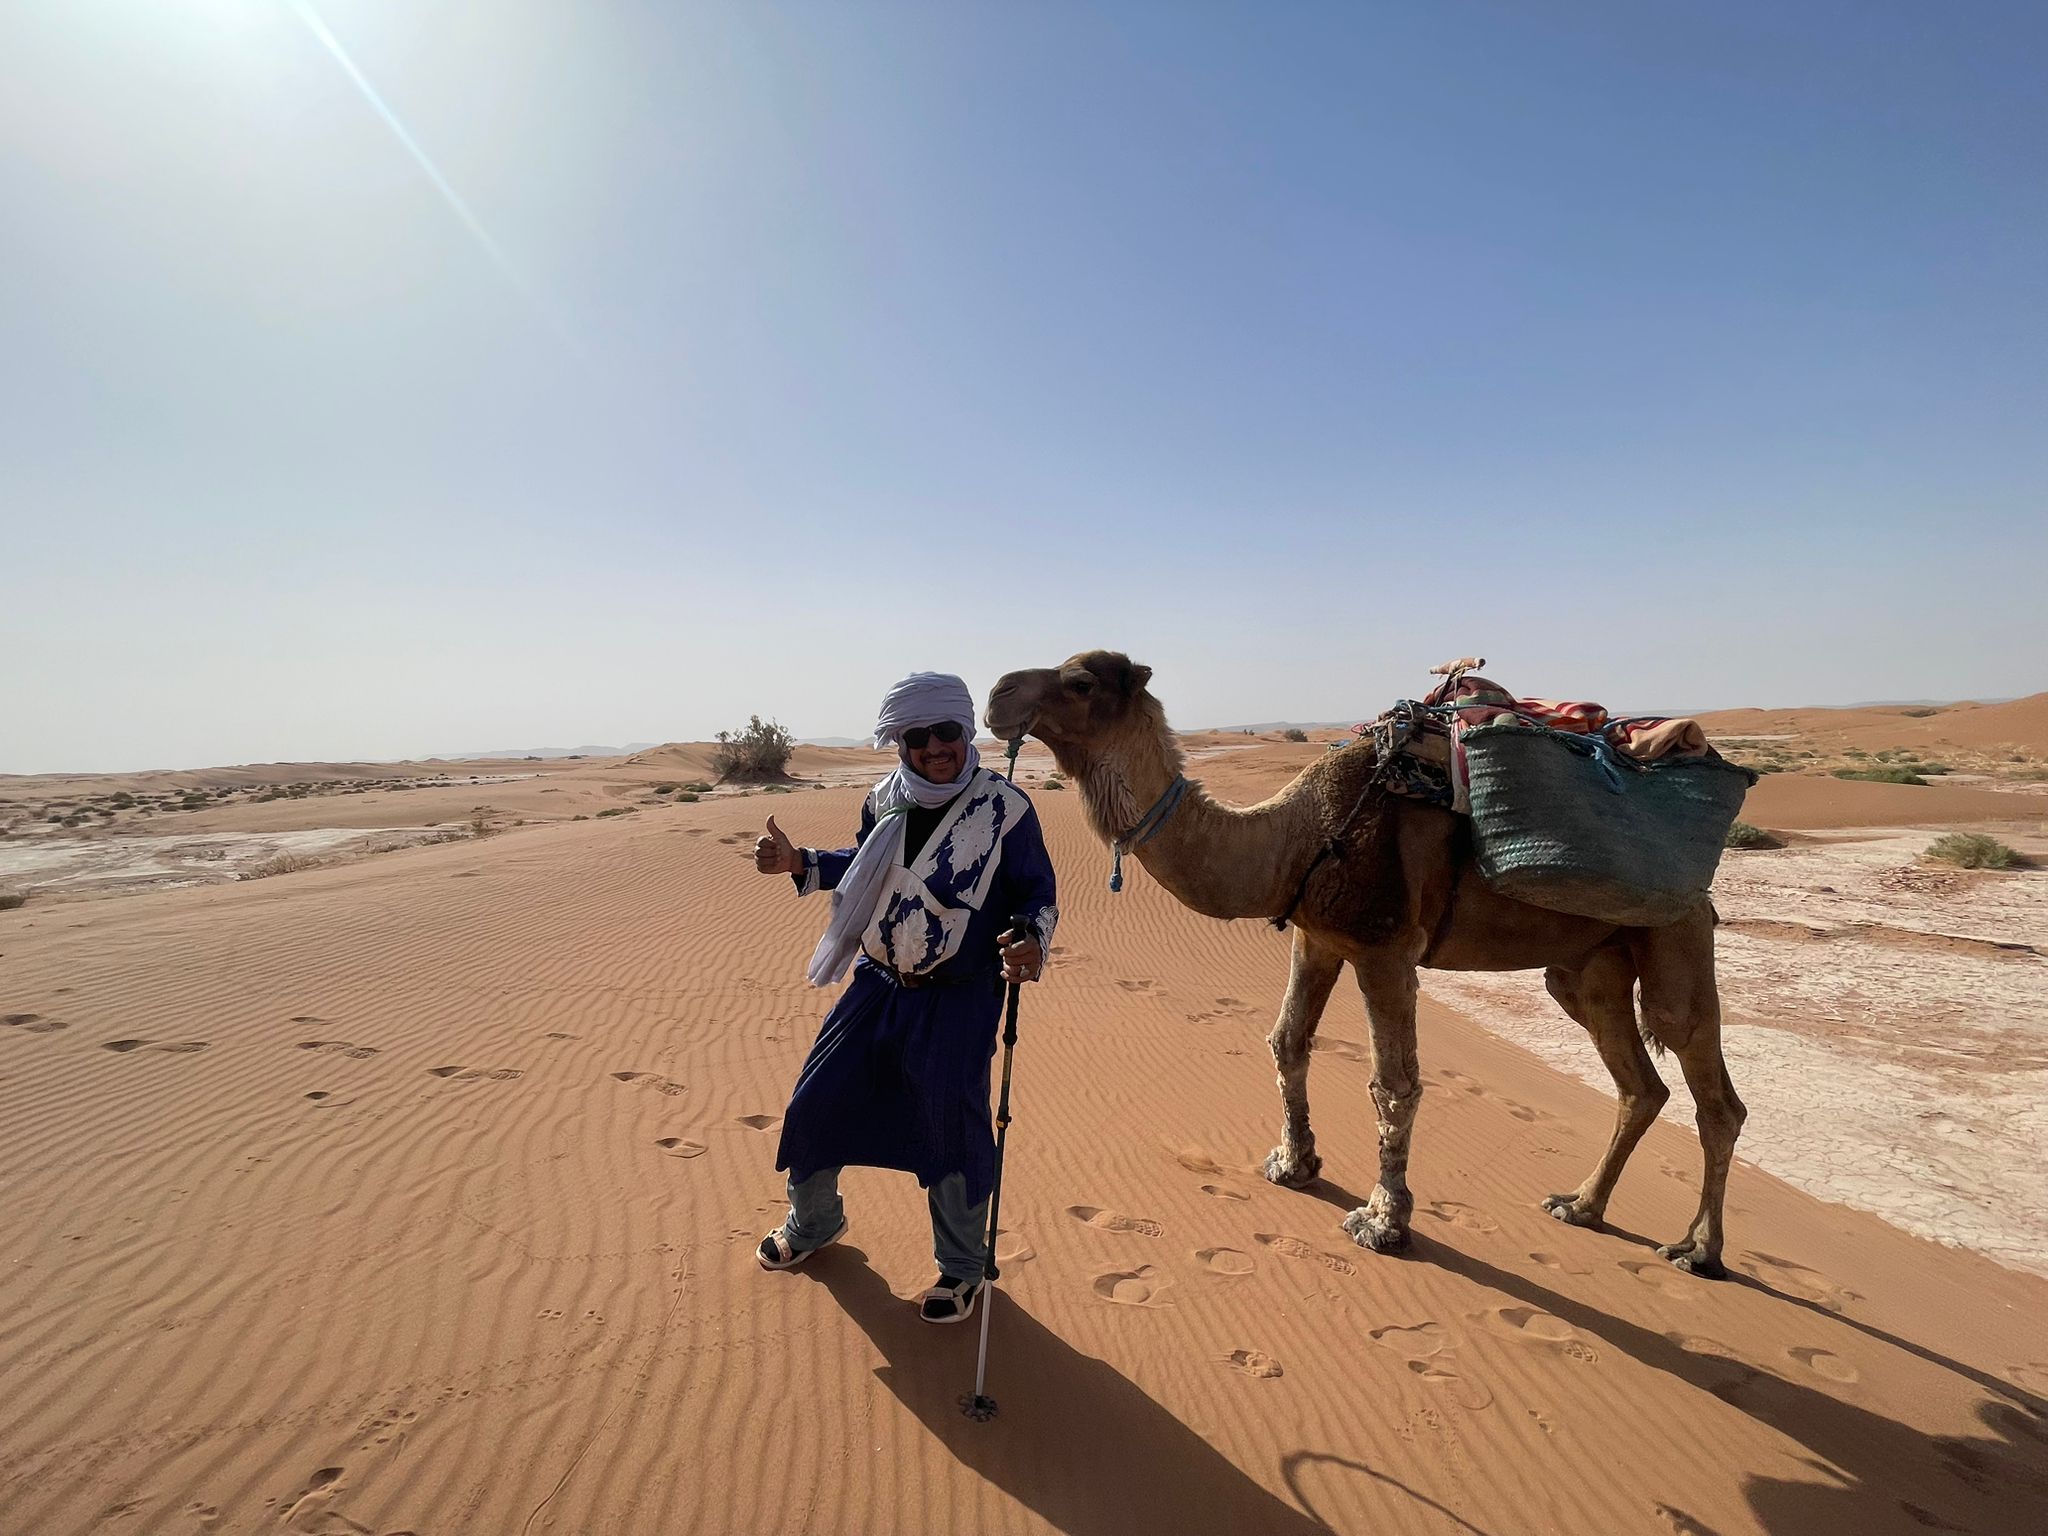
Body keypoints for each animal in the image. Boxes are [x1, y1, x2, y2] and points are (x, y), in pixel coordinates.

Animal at [986, 651, 1745, 1277]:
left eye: (1081, 682)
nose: (996, 694)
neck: (1297, 837)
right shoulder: (1317, 937)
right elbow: (1288, 1042)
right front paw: (1292, 1164)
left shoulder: (1384, 948)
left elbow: (1394, 1084)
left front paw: (1383, 1221)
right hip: (1590, 967)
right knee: (1638, 1084)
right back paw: (1582, 1207)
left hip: (1675, 933)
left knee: (1710, 1086)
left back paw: (1697, 1250)